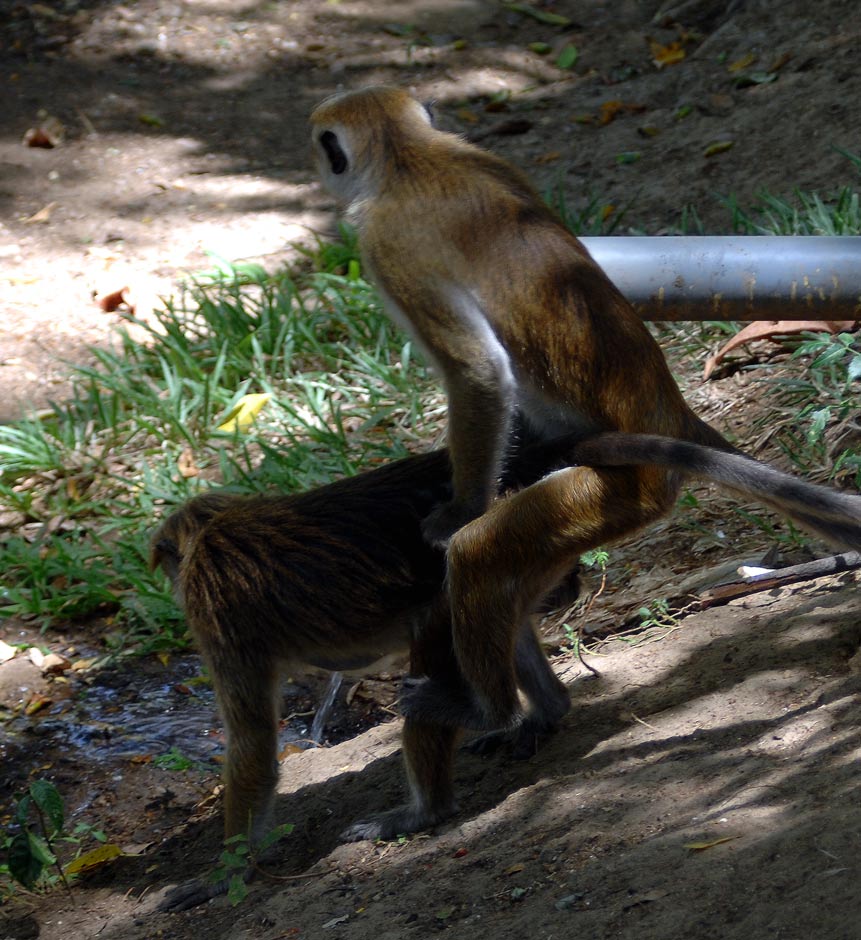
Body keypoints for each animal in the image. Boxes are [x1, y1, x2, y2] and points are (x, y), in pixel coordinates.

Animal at [312, 86, 860, 736]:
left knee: (480, 553)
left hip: (622, 490)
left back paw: (482, 708)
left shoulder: (386, 245)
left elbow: (479, 373)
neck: (408, 157)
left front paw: (457, 512)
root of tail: (670, 413)